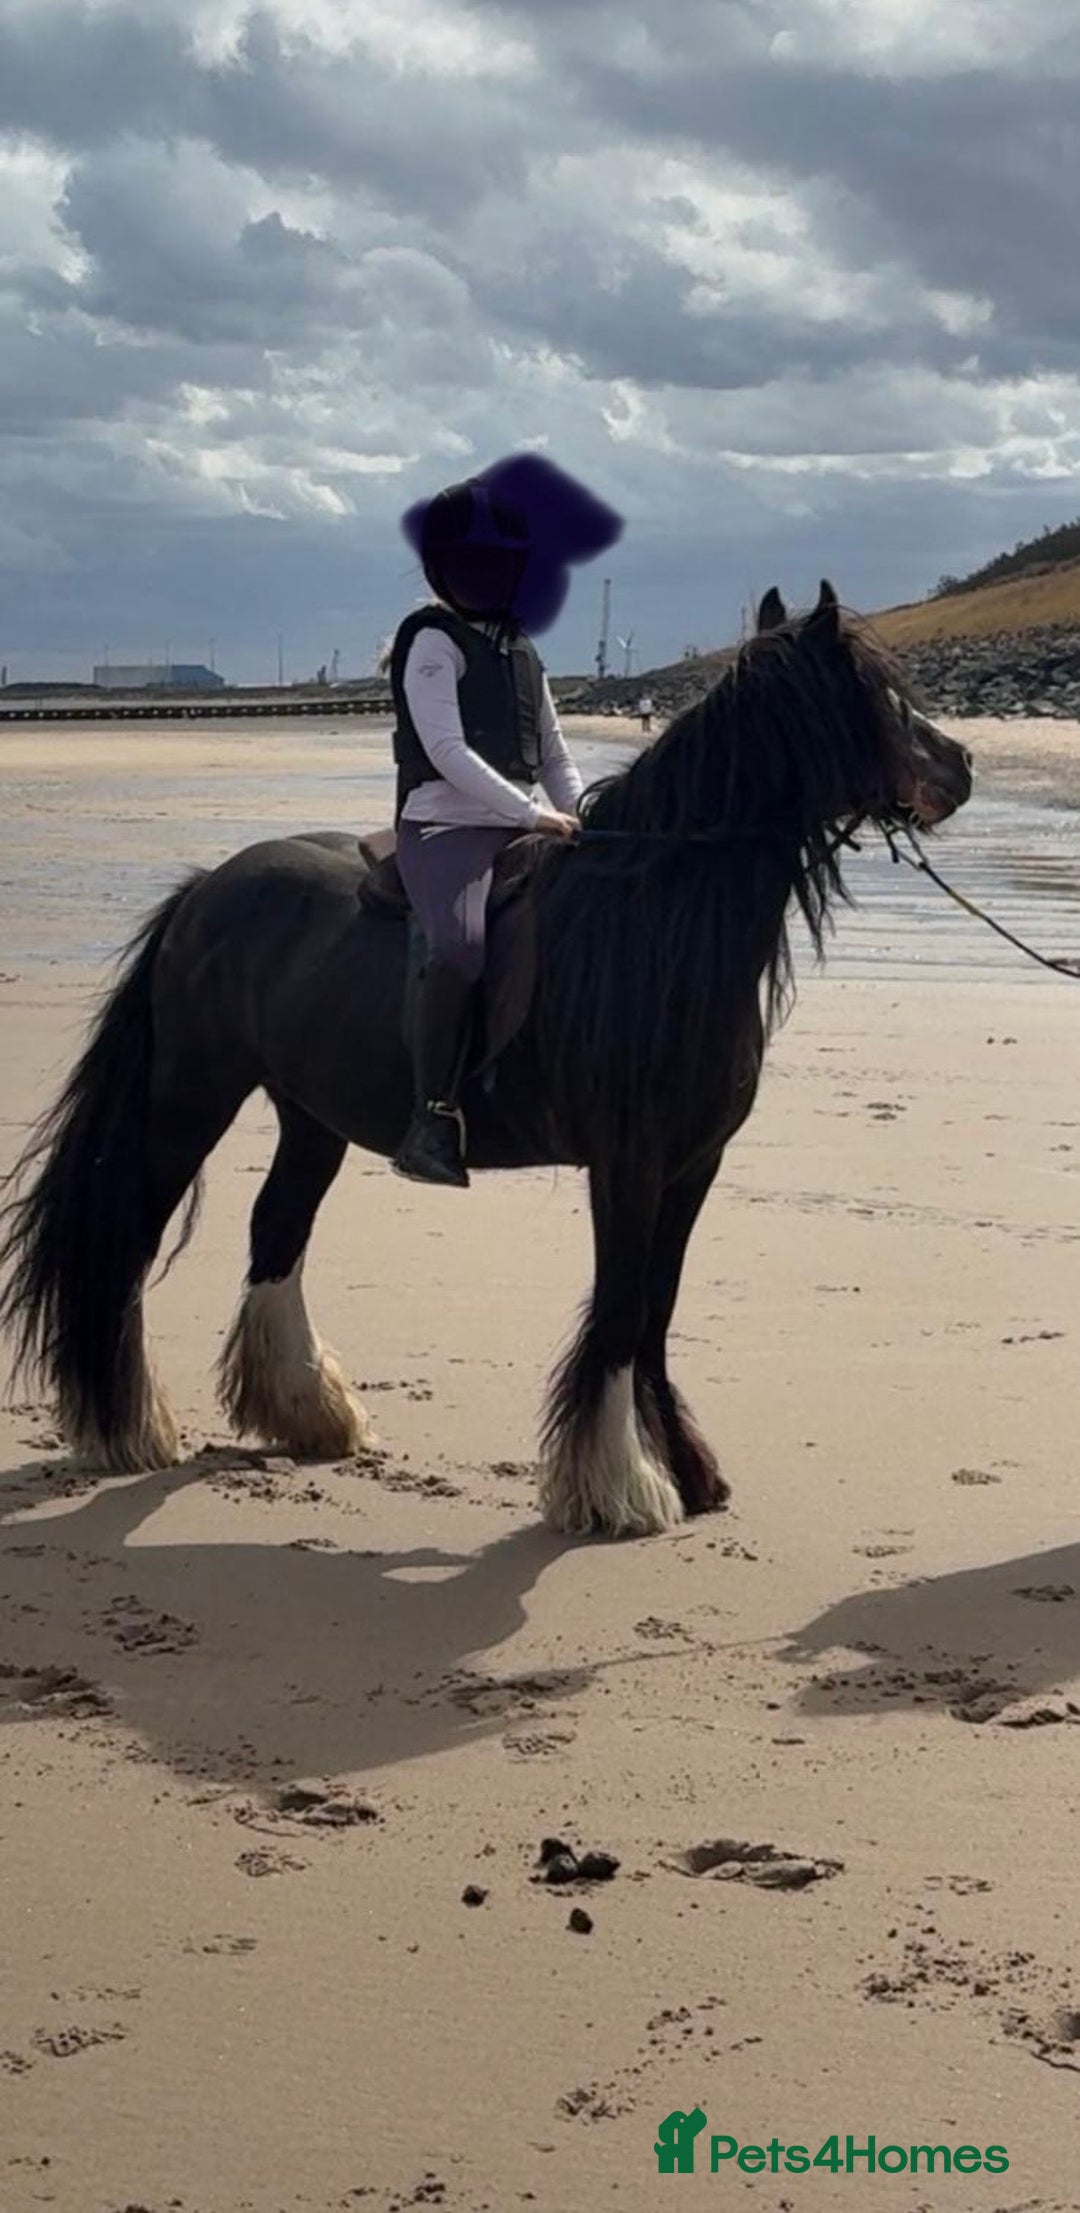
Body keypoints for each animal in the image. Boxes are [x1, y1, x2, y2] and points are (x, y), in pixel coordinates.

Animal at [0, 582, 972, 1539]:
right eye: (872, 689)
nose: (960, 766)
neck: (651, 924)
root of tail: (205, 887)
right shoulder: (628, 1162)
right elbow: (622, 1307)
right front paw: (620, 1485)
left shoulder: (693, 1164)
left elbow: (657, 1307)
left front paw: (688, 1472)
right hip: (190, 1097)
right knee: (129, 1239)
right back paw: (126, 1426)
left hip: (310, 1115)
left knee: (276, 1230)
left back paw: (310, 1411)